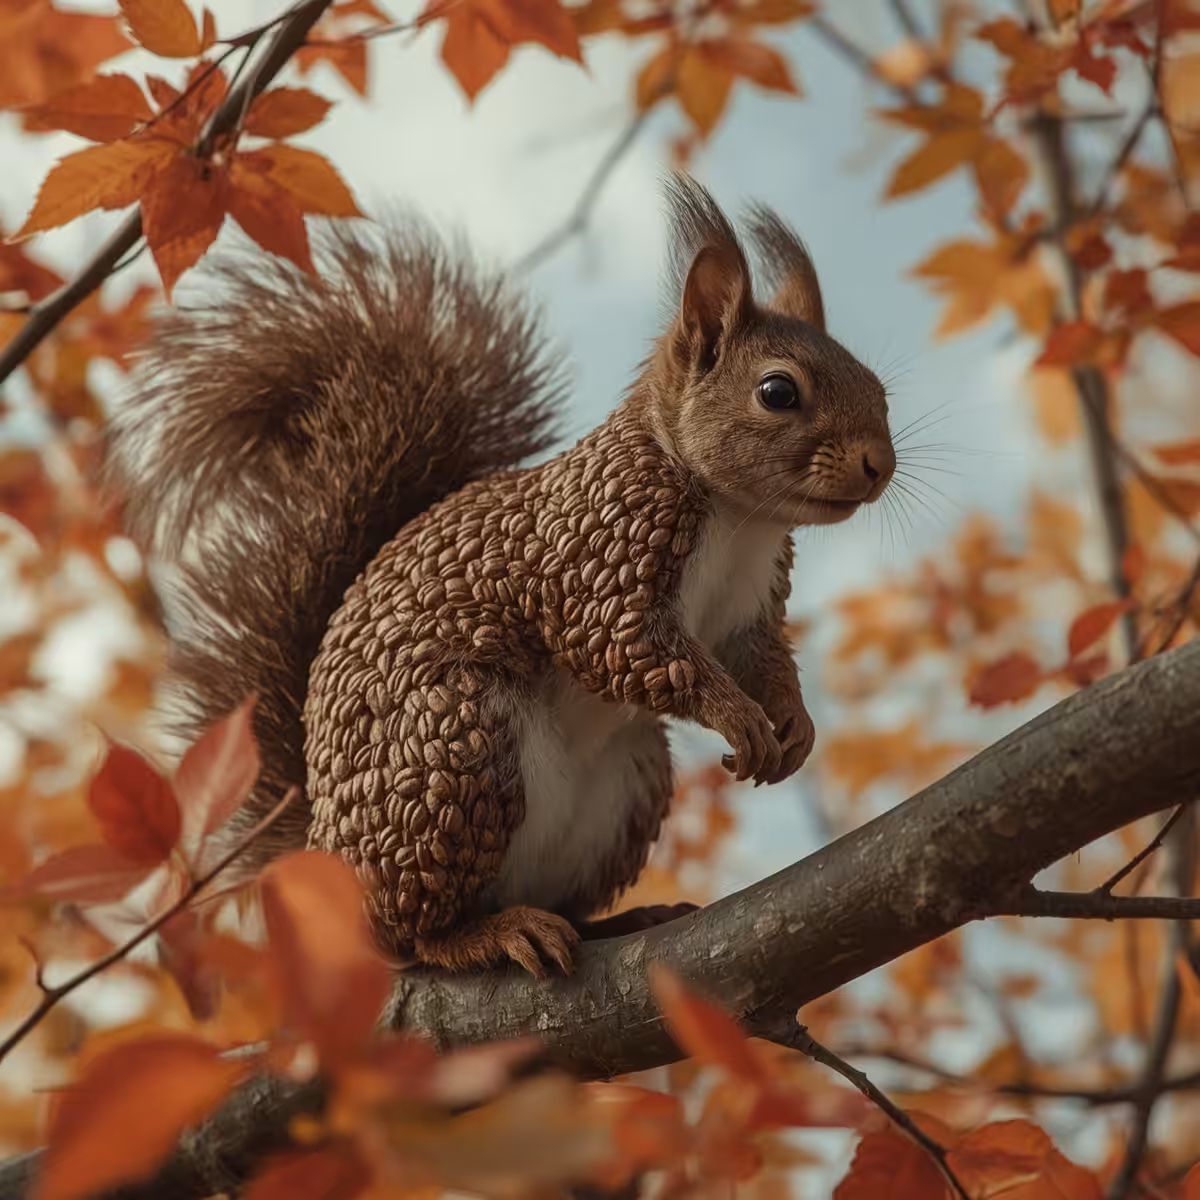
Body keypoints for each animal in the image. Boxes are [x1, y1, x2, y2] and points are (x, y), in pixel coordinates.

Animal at [103, 175, 895, 978]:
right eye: (777, 392)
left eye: (878, 388)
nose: (879, 465)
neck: (738, 518)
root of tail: (324, 858)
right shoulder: (592, 558)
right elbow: (625, 646)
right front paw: (739, 716)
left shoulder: (747, 609)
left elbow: (760, 657)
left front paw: (793, 722)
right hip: (457, 752)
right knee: (413, 936)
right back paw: (484, 935)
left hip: (629, 784)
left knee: (560, 898)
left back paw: (614, 920)